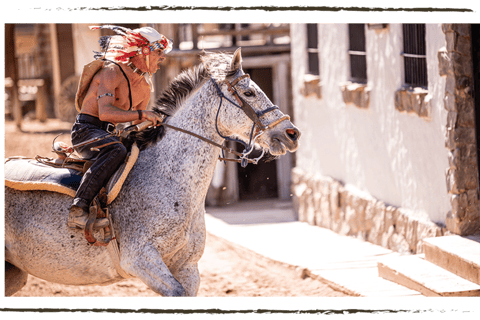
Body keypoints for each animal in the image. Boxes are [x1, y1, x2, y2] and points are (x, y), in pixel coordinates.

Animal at [4, 48, 300, 298]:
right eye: (249, 93)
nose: (291, 133)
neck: (169, 180)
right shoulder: (140, 259)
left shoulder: (187, 267)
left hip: (13, 274)